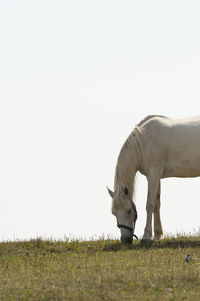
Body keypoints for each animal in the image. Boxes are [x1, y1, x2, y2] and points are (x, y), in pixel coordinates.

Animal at [107, 115, 200, 244]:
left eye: (129, 211)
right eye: (114, 213)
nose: (125, 240)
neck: (143, 144)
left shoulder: (154, 174)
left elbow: (149, 205)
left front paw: (146, 237)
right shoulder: (154, 176)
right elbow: (157, 203)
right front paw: (157, 235)